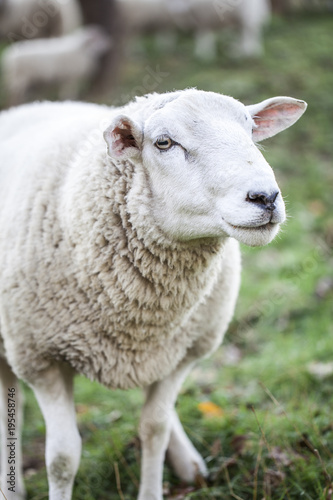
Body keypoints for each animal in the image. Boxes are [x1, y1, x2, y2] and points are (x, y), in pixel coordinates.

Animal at [0, 90, 306, 500]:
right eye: (164, 143)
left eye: (250, 130)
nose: (266, 197)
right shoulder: (41, 359)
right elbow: (62, 458)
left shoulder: (180, 353)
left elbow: (154, 430)